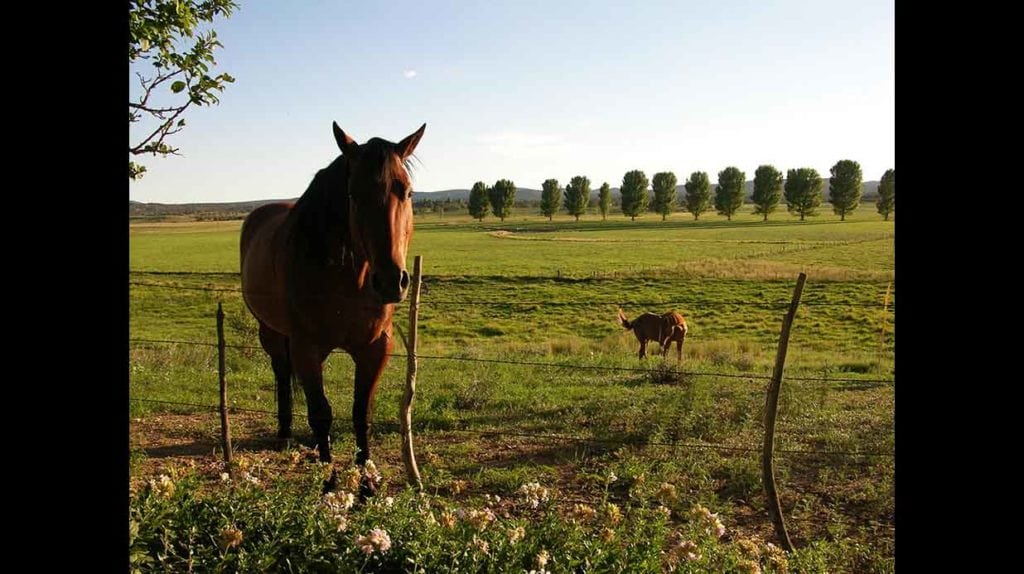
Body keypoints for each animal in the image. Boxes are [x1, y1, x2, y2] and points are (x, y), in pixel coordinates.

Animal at [239, 120, 423, 493]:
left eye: (408, 192)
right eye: (353, 194)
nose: (391, 281)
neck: (348, 279)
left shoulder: (374, 348)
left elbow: (360, 413)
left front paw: (366, 485)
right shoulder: (307, 349)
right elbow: (321, 413)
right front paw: (329, 484)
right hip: (271, 332)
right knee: (281, 372)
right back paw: (284, 432)